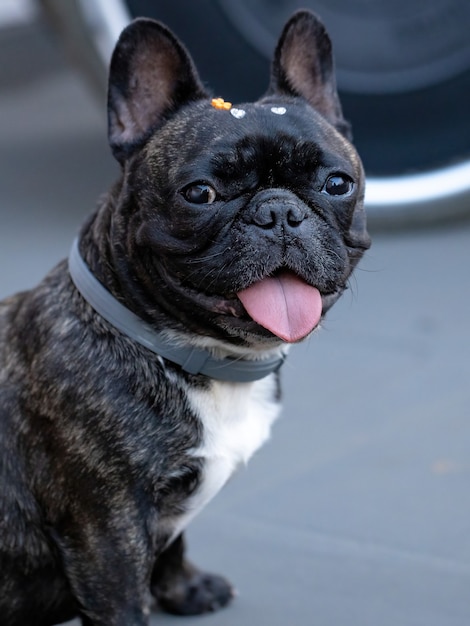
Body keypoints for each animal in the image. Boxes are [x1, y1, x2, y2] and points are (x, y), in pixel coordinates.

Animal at [0, 11, 370, 624]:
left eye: (337, 183)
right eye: (200, 193)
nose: (279, 211)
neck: (198, 358)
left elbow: (172, 545)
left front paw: (185, 589)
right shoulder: (107, 528)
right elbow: (124, 598)